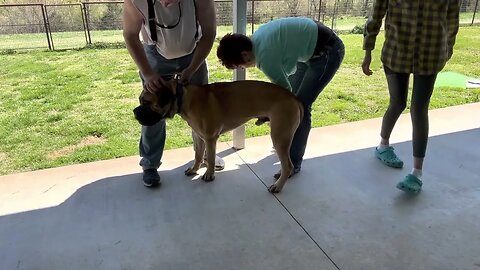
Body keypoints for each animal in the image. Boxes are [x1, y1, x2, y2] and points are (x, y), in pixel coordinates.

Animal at [133, 79, 302, 193]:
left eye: (146, 102)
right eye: (140, 100)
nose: (134, 112)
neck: (184, 98)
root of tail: (293, 97)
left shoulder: (210, 138)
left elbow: (211, 158)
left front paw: (209, 174)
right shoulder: (199, 136)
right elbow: (198, 155)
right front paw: (194, 169)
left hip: (279, 136)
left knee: (288, 165)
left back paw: (278, 186)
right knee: (287, 163)